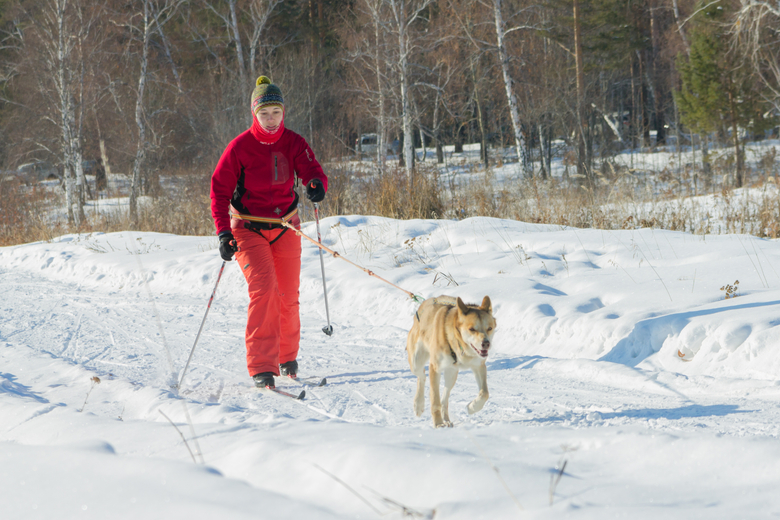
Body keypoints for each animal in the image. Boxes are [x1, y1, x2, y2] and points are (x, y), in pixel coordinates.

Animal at [406, 294, 496, 428]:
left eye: (489, 328)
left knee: (445, 398)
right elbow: (435, 400)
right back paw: (419, 404)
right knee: (422, 376)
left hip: (451, 374)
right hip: (416, 361)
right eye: (472, 329)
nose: (486, 343)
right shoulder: (435, 368)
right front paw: (438, 423)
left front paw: (472, 407)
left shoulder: (479, 366)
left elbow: (485, 393)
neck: (460, 346)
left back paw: (446, 419)